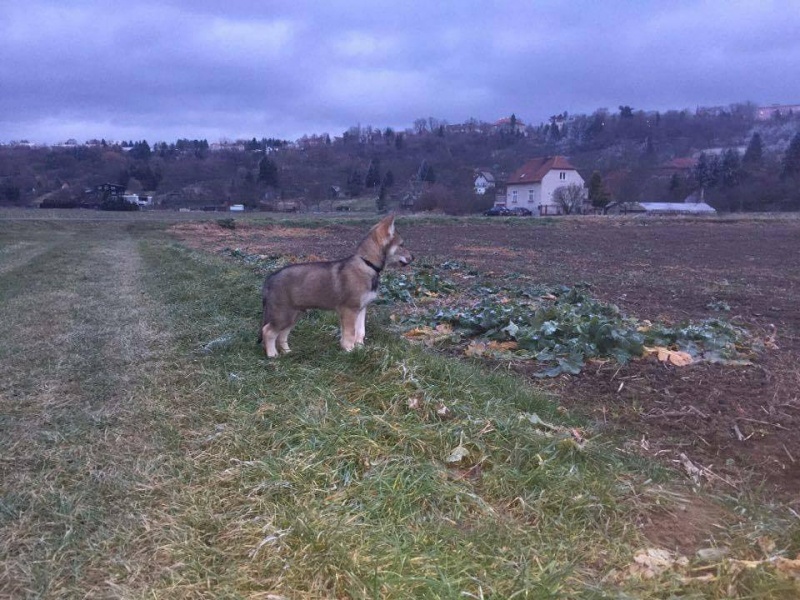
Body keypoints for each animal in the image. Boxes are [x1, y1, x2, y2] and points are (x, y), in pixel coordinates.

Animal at [260, 214, 412, 356]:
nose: (413, 258)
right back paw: (272, 355)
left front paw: (360, 349)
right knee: (268, 331)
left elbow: (360, 332)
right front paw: (349, 350)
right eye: (402, 245)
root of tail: (270, 279)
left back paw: (287, 352)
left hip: (294, 315)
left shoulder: (361, 309)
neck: (367, 264)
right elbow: (350, 334)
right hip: (283, 314)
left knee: (281, 335)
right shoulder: (349, 310)